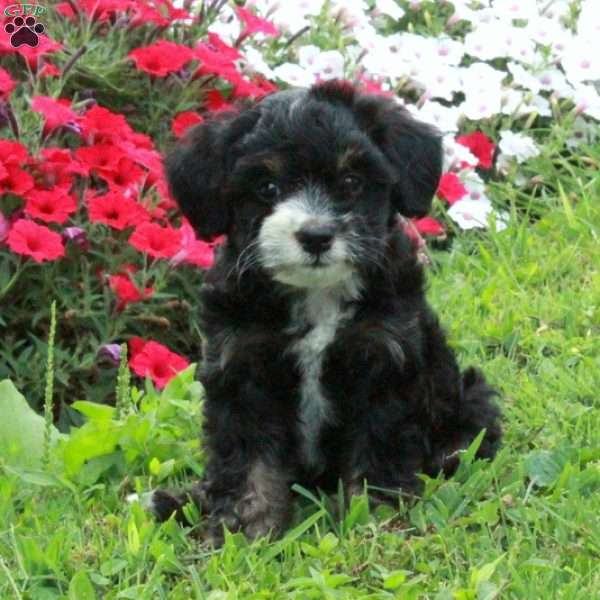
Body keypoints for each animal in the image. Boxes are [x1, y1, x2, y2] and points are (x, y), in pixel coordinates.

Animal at [149, 79, 502, 544]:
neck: (317, 294)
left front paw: (374, 518)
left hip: (469, 395)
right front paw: (244, 530)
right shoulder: (241, 368)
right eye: (268, 188)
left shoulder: (383, 361)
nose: (316, 235)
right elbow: (246, 459)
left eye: (351, 181)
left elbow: (378, 448)